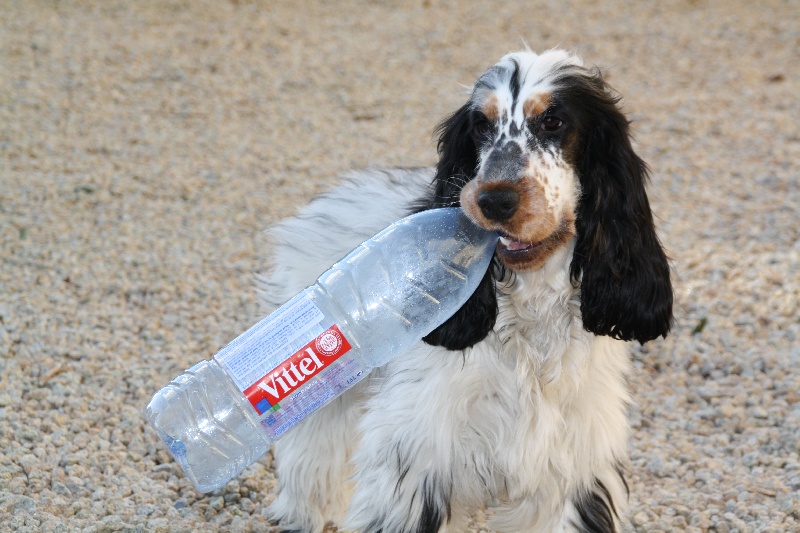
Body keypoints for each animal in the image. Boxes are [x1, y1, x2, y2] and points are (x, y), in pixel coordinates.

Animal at [260, 48, 672, 532]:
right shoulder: (414, 458)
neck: (529, 317)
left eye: (553, 121)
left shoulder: (572, 470)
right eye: (480, 126)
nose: (495, 200)